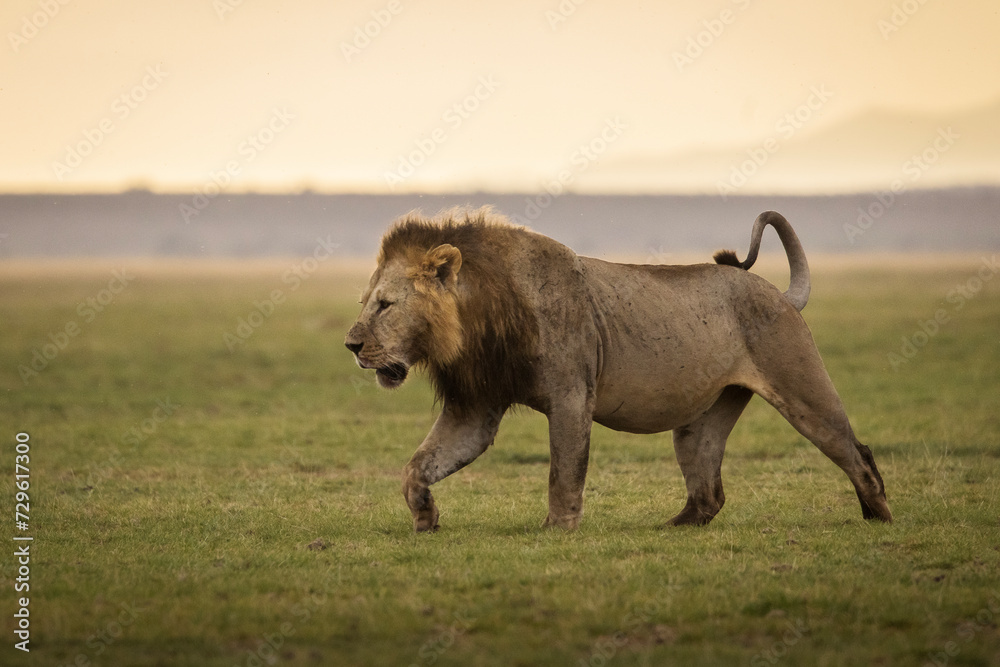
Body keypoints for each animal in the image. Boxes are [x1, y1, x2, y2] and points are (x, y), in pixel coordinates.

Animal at [345, 207, 892, 532]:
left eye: (386, 305)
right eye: (366, 302)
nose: (351, 345)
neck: (479, 318)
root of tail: (778, 293)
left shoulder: (571, 397)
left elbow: (564, 471)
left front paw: (558, 530)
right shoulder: (475, 408)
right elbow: (417, 467)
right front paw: (426, 519)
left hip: (802, 387)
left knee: (855, 451)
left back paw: (878, 514)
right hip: (701, 421)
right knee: (709, 490)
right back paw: (673, 527)